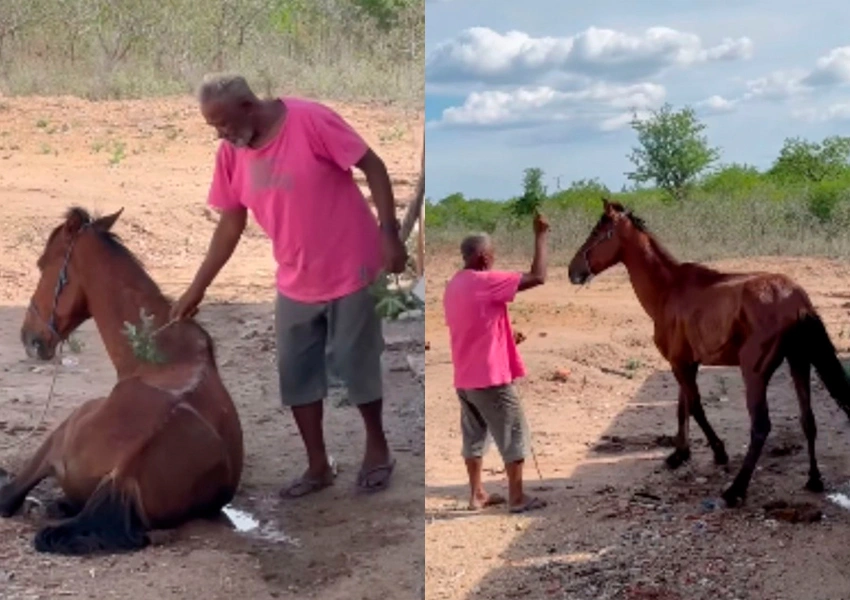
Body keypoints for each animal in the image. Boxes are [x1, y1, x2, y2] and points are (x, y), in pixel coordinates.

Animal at [0, 206, 244, 555]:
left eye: (42, 263)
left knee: (9, 497)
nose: (30, 338)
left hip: (57, 437)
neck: (161, 352)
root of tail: (126, 468)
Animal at [566, 198, 850, 507]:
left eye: (597, 233)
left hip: (755, 373)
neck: (668, 289)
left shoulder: (680, 363)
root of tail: (795, 299)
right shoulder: (685, 363)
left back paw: (736, 490)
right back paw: (814, 479)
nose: (573, 271)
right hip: (799, 362)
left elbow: (696, 408)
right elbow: (683, 407)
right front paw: (679, 454)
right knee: (808, 420)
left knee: (761, 426)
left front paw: (718, 451)